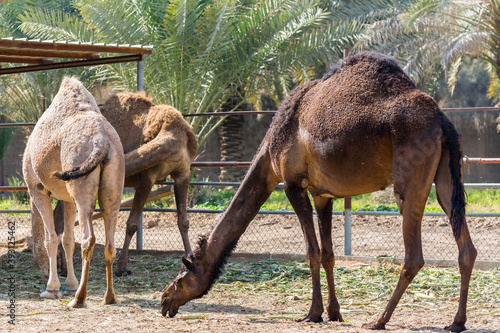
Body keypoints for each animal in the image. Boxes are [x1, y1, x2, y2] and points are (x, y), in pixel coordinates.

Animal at [23, 76, 125, 308]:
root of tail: (101, 139)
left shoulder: (37, 190)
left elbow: (51, 238)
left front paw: (52, 289)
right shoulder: (67, 198)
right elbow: (67, 240)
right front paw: (69, 285)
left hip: (80, 184)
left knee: (88, 239)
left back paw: (79, 299)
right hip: (113, 184)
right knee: (109, 242)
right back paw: (109, 297)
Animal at [160, 51, 476, 330]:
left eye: (182, 273)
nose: (164, 301)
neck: (270, 150)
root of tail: (443, 120)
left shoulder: (292, 184)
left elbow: (311, 252)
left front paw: (312, 314)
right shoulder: (322, 194)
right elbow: (328, 254)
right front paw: (334, 313)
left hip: (410, 180)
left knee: (414, 256)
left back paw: (378, 320)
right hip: (447, 178)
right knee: (465, 248)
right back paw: (456, 322)